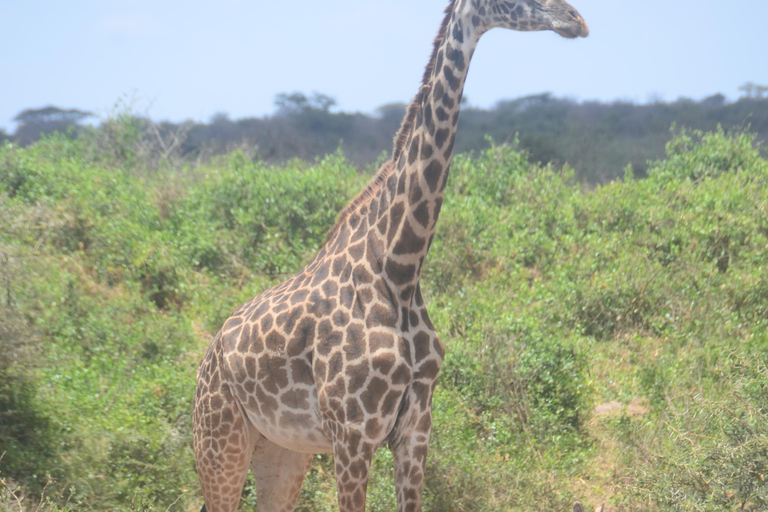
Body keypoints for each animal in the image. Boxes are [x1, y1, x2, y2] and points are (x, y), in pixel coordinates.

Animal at [194, 2, 588, 510]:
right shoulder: (353, 432)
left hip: (282, 449)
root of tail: (207, 358)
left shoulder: (416, 428)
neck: (399, 267)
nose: (576, 21)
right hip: (219, 440)